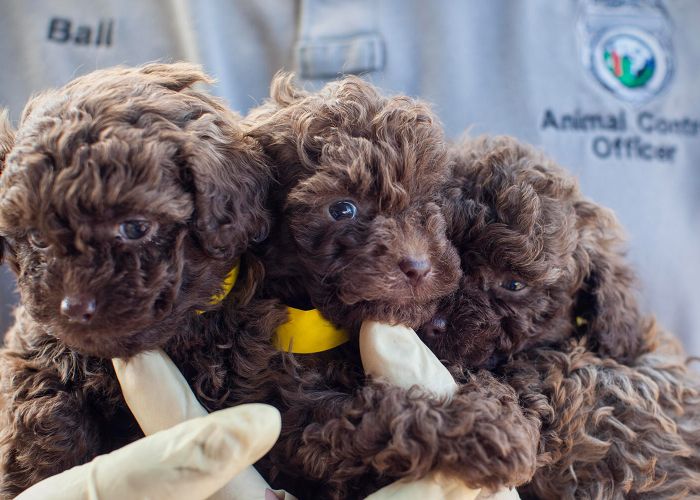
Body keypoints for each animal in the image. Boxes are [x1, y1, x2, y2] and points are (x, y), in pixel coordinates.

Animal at [0, 63, 270, 496]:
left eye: (135, 228)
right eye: (38, 238)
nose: (74, 306)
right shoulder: (33, 341)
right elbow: (41, 399)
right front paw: (39, 471)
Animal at [211, 76, 540, 498]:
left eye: (430, 199)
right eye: (342, 209)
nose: (419, 266)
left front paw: (497, 405)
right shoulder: (293, 411)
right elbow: (376, 414)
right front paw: (485, 430)